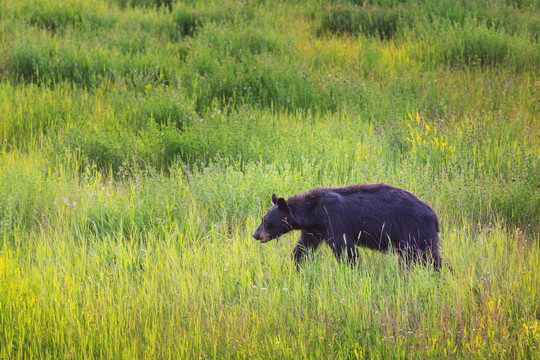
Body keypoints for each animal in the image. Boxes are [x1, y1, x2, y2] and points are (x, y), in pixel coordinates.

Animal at [251, 184, 440, 272]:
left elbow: (345, 249)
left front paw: (353, 270)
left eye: (266, 221)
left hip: (414, 230)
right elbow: (303, 247)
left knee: (427, 255)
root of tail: (433, 214)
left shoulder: (334, 220)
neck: (314, 212)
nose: (255, 234)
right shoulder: (314, 230)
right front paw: (296, 265)